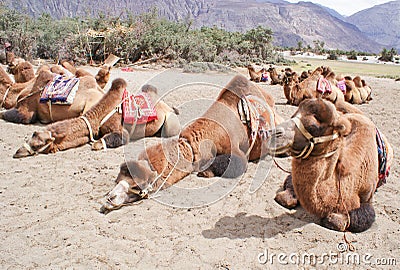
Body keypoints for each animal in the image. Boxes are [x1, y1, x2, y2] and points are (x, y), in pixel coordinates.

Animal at [13, 79, 180, 158]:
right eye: (32, 135)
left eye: (37, 144)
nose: (17, 152)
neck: (97, 118)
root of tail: (168, 107)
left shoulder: (121, 130)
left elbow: (101, 143)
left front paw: (98, 144)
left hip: (170, 124)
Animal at [99, 74, 284, 213]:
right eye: (117, 179)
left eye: (137, 185)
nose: (110, 198)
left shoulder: (239, 152)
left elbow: (236, 164)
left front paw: (205, 172)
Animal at [268, 98, 392, 232]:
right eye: (293, 116)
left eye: (313, 127)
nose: (273, 134)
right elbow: (284, 196)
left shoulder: (367, 198)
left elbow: (336, 221)